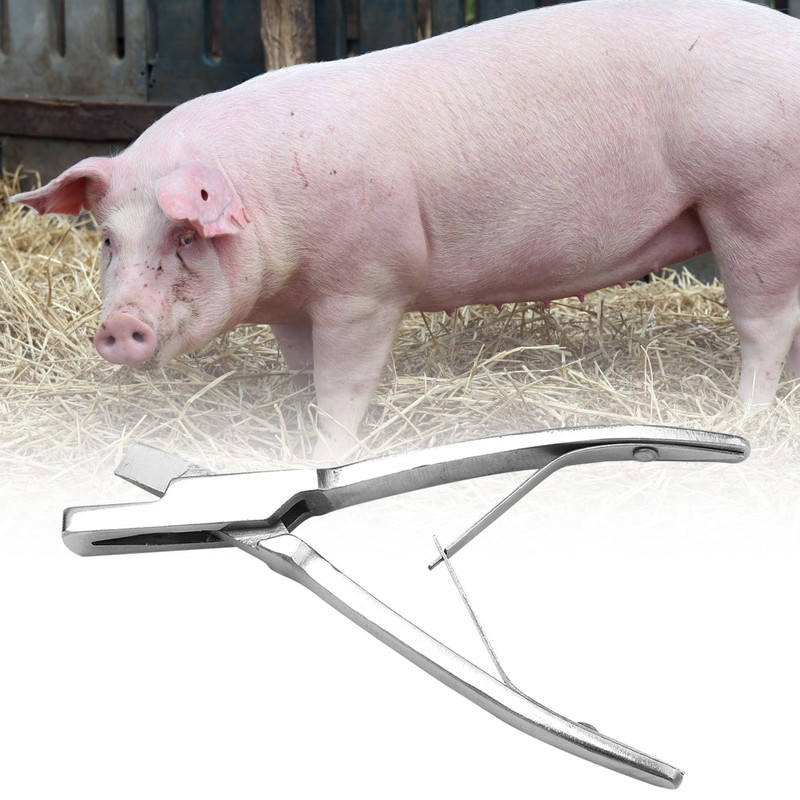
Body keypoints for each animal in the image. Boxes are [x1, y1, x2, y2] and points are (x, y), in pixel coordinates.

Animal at [13, 0, 800, 459]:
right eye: (109, 240)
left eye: (184, 238)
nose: (120, 325)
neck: (273, 203)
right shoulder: (295, 305)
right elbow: (303, 371)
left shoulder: (366, 286)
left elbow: (345, 384)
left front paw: (329, 451)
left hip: (752, 200)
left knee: (764, 323)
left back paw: (745, 413)